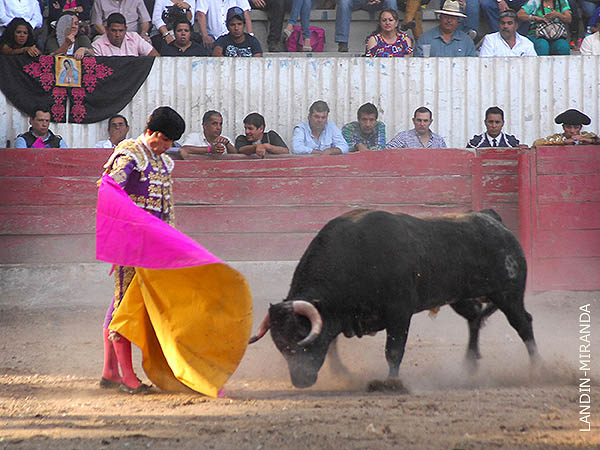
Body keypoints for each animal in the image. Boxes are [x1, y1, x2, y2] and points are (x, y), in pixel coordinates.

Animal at [250, 209, 540, 388]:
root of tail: (493, 220)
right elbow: (332, 344)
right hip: (460, 297)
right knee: (474, 318)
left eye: (302, 340)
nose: (301, 381)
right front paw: (341, 373)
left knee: (523, 324)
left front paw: (391, 383)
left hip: (509, 295)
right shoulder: (334, 315)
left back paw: (537, 368)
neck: (355, 258)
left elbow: (393, 350)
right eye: (280, 345)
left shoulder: (399, 313)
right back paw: (468, 365)